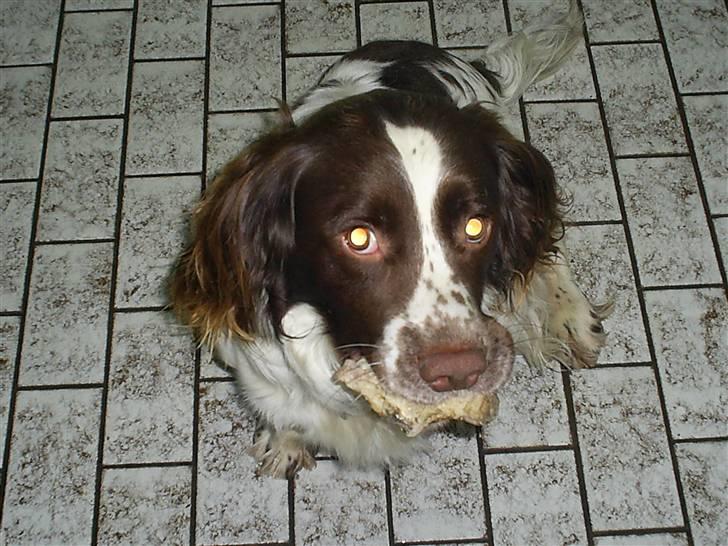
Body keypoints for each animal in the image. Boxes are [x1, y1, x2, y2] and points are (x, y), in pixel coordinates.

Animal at [169, 0, 608, 476]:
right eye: (359, 237)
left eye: (476, 226)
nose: (459, 372)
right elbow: (282, 408)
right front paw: (283, 439)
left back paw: (569, 318)